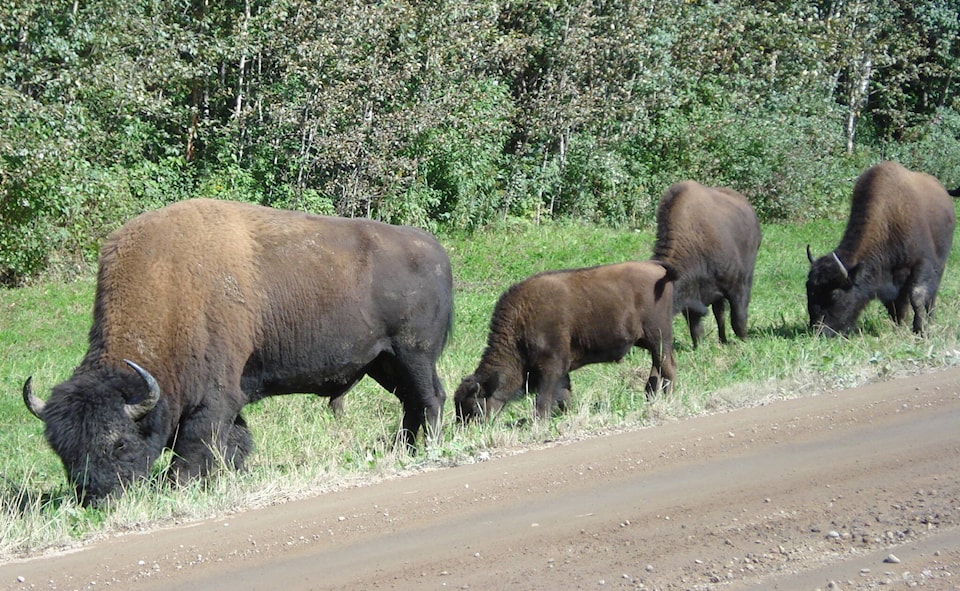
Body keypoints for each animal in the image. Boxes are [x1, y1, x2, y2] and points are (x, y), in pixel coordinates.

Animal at [21, 198, 454, 504]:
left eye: (120, 443)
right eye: (62, 451)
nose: (98, 500)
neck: (170, 288)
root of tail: (435, 250)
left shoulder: (214, 399)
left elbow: (196, 448)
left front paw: (183, 487)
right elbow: (234, 440)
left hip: (412, 355)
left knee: (429, 398)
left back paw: (427, 447)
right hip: (384, 362)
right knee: (411, 402)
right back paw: (404, 448)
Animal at [456, 262, 676, 424]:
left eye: (474, 406)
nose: (464, 428)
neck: (521, 320)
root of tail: (660, 271)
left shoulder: (551, 366)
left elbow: (544, 398)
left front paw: (539, 421)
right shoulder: (561, 369)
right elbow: (564, 393)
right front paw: (567, 414)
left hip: (658, 337)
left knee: (667, 366)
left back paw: (667, 397)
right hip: (647, 341)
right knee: (657, 366)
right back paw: (651, 397)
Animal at [648, 180, 760, 346]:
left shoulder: (737, 287)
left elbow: (738, 319)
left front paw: (744, 340)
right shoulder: (691, 299)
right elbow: (697, 328)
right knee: (719, 314)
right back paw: (722, 340)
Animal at [808, 161, 956, 338]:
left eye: (834, 294)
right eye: (809, 289)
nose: (818, 330)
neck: (888, 220)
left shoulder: (922, 263)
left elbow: (917, 295)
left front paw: (920, 331)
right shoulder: (886, 276)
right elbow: (896, 304)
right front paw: (900, 327)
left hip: (940, 265)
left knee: (932, 294)